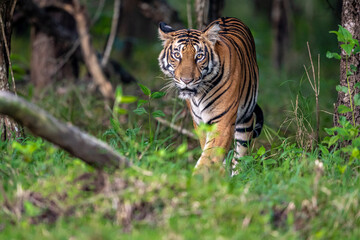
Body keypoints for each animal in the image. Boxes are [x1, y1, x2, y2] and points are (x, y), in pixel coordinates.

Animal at [159, 16, 262, 174]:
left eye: (199, 56)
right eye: (177, 55)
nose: (186, 80)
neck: (198, 95)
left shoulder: (223, 122)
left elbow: (210, 156)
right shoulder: (200, 124)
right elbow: (209, 153)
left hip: (245, 121)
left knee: (240, 155)